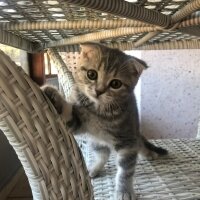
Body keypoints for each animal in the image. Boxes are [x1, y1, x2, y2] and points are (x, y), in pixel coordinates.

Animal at [42, 43, 167, 199]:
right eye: (91, 74)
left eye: (115, 83)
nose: (98, 91)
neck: (99, 111)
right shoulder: (78, 124)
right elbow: (67, 114)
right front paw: (53, 96)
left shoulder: (127, 141)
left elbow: (126, 171)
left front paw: (124, 190)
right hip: (94, 140)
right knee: (103, 153)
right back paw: (95, 168)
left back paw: (149, 153)